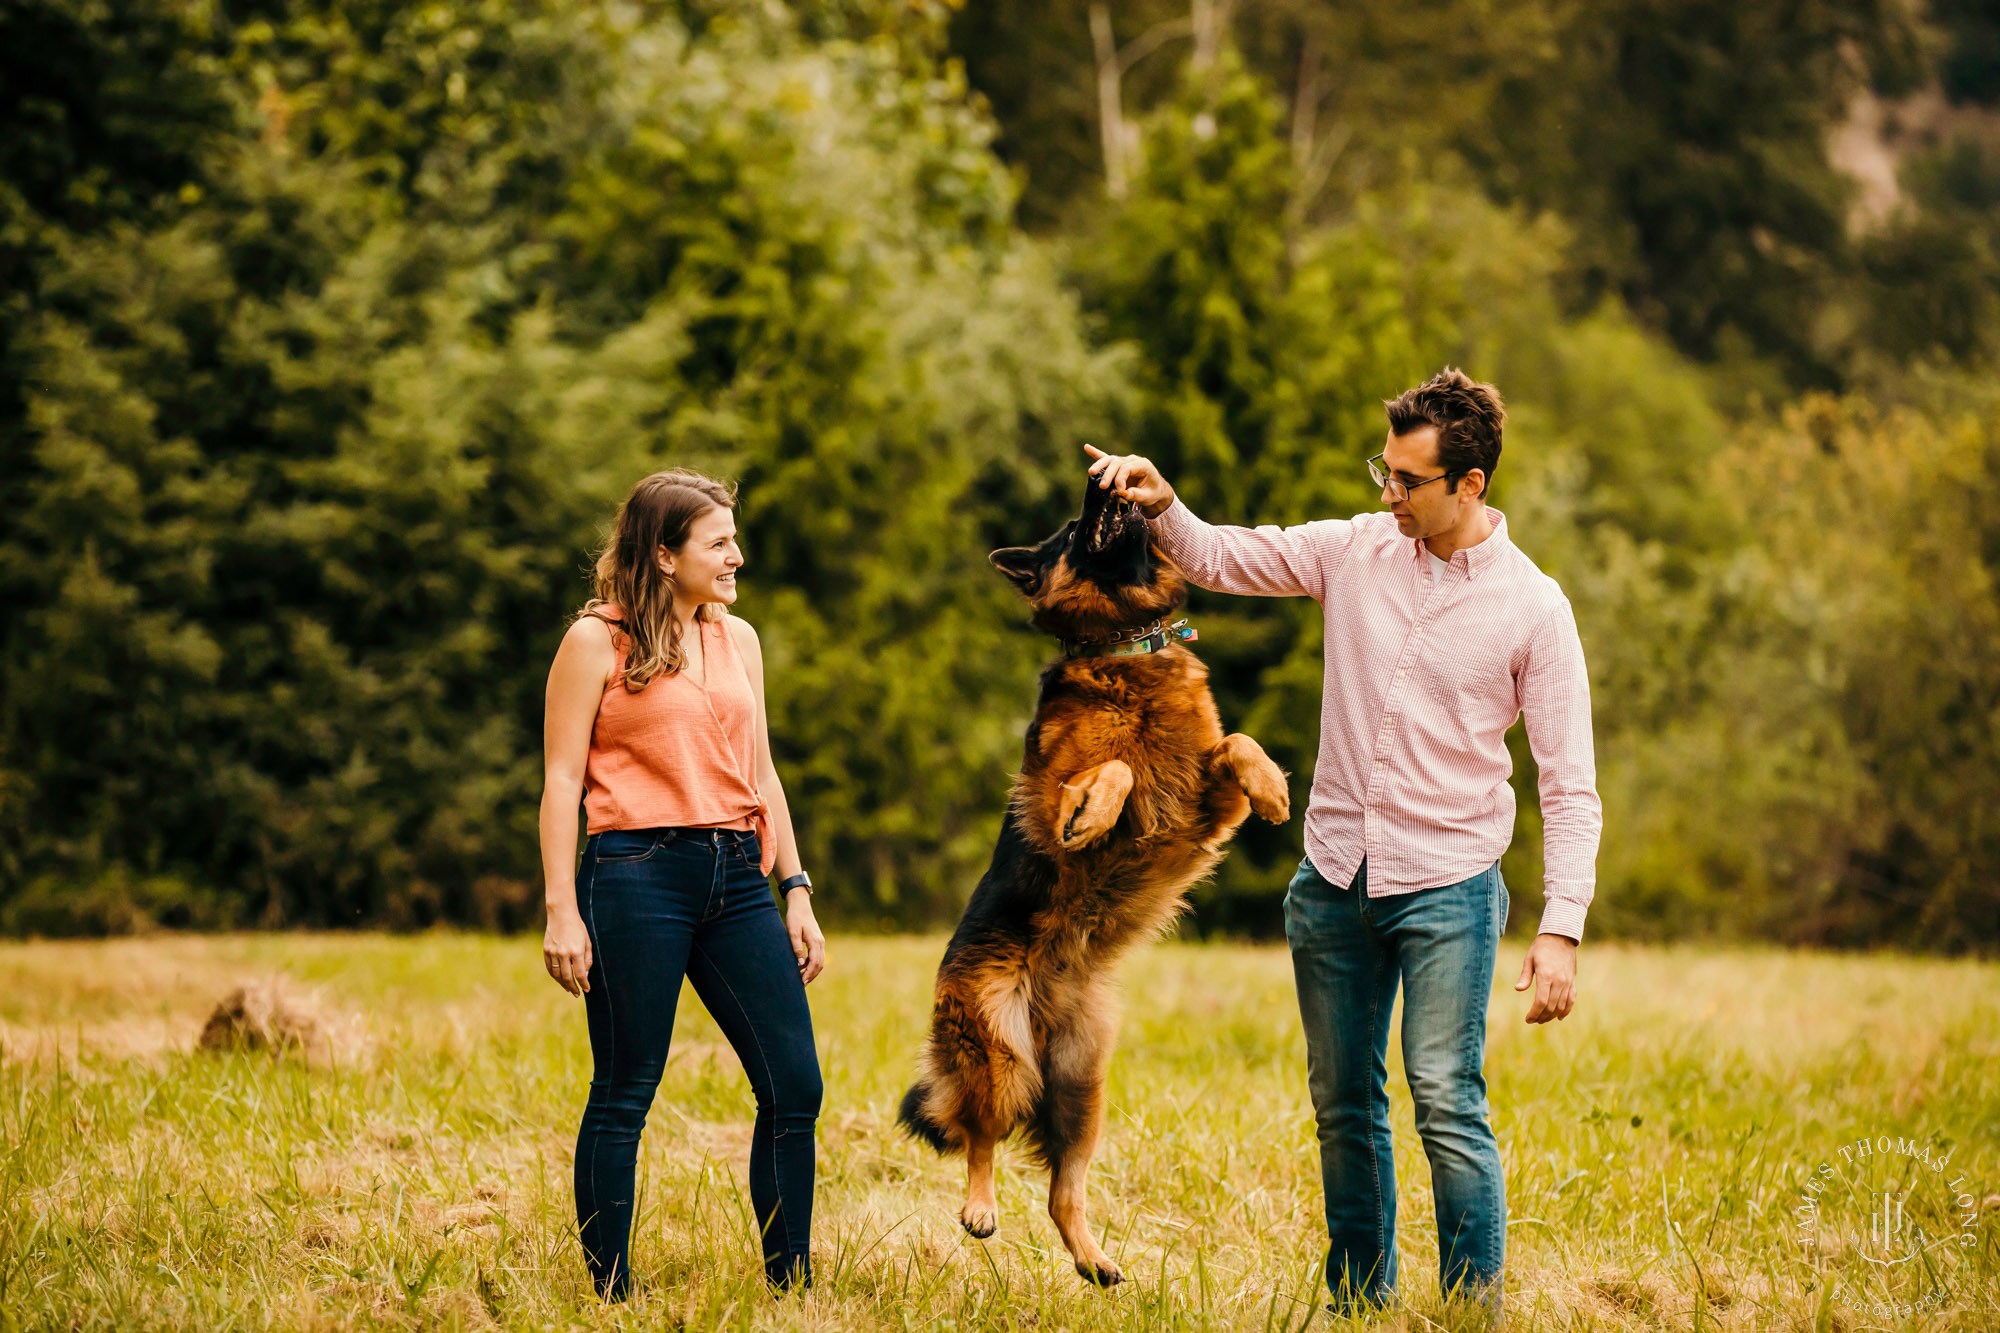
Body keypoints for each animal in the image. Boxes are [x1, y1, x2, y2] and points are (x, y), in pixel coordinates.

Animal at [900, 466, 1288, 1280]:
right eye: (1075, 529)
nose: (1101, 480)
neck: (1126, 649)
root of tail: (1048, 1010)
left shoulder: (1209, 808)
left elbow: (1235, 741)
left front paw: (1272, 787)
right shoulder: (1048, 795)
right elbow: (1111, 770)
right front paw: (1098, 814)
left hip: (1081, 1090)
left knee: (1061, 1190)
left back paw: (1094, 1259)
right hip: (999, 1050)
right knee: (980, 1134)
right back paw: (979, 1206)